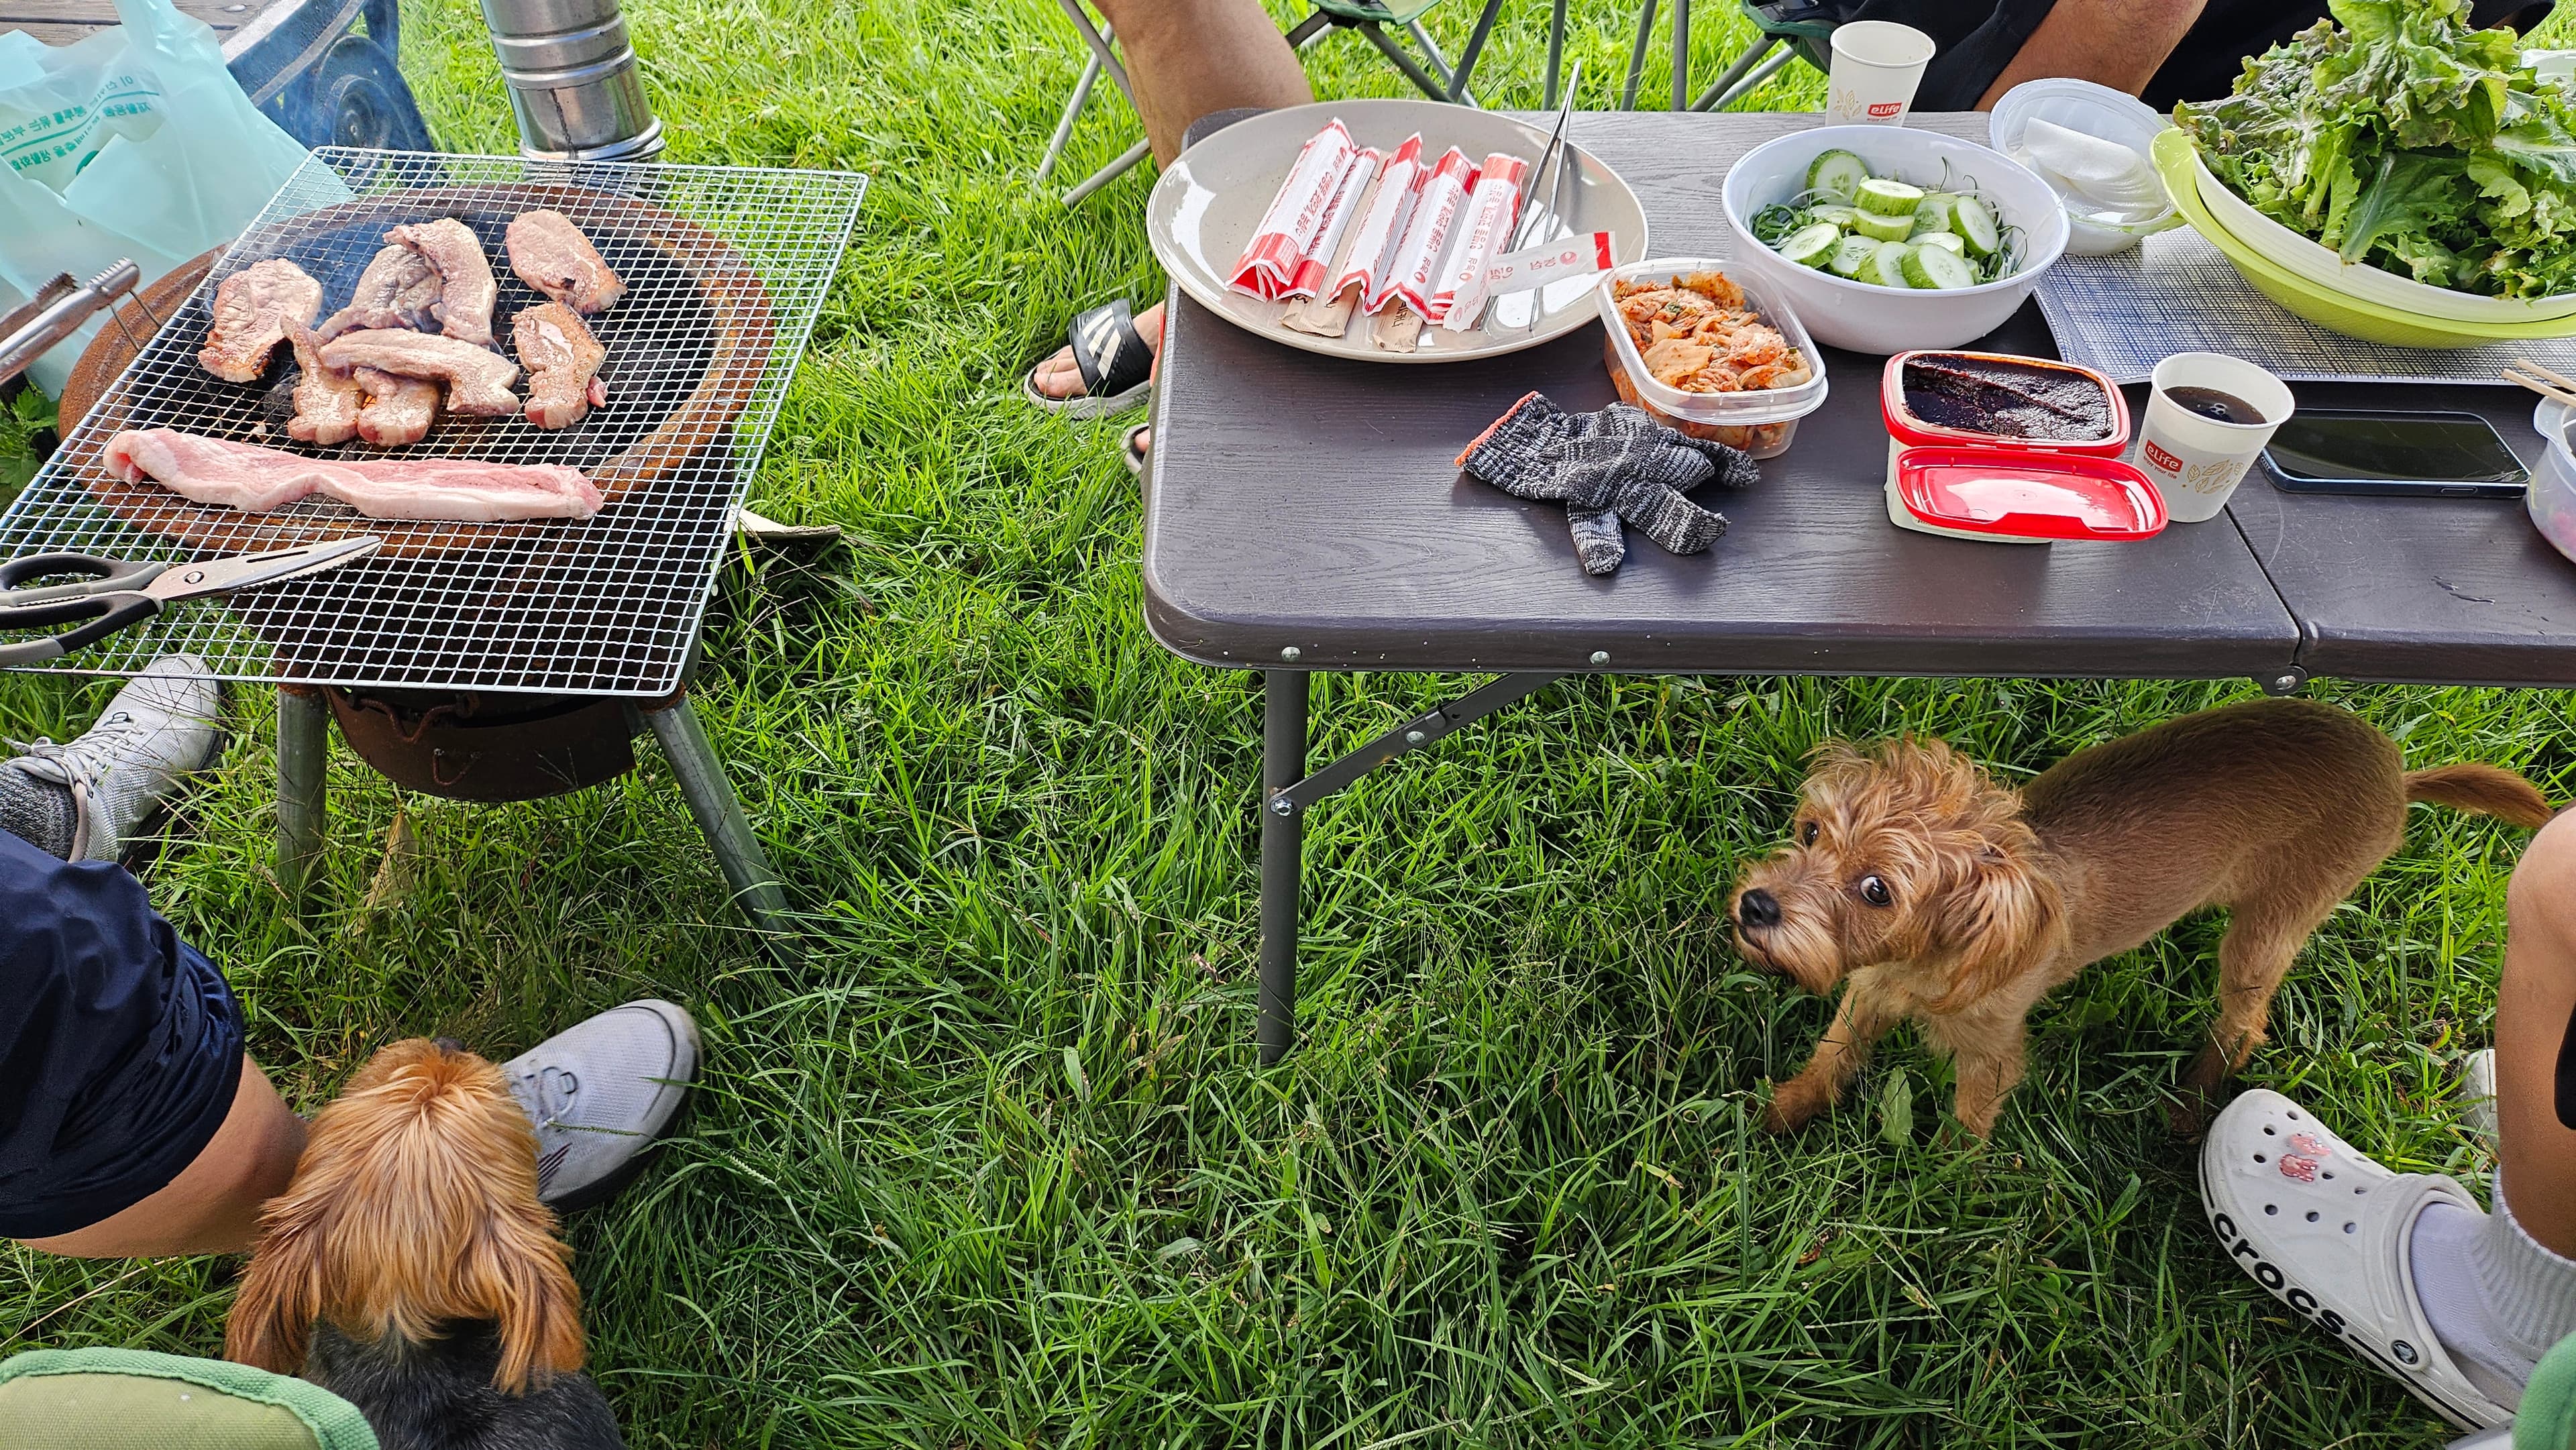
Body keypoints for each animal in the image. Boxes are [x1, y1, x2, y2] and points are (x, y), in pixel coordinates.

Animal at [1721, 695, 2544, 1138]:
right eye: (1811, 833)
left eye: (1876, 890)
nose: (1757, 906)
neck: (1930, 957)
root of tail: (2401, 775)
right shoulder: (1867, 996)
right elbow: (1830, 1057)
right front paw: (1779, 1114)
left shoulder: (1992, 1055)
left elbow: (1968, 1125)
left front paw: (1951, 1197)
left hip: (2267, 933)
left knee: (2245, 1025)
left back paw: (2190, 1107)